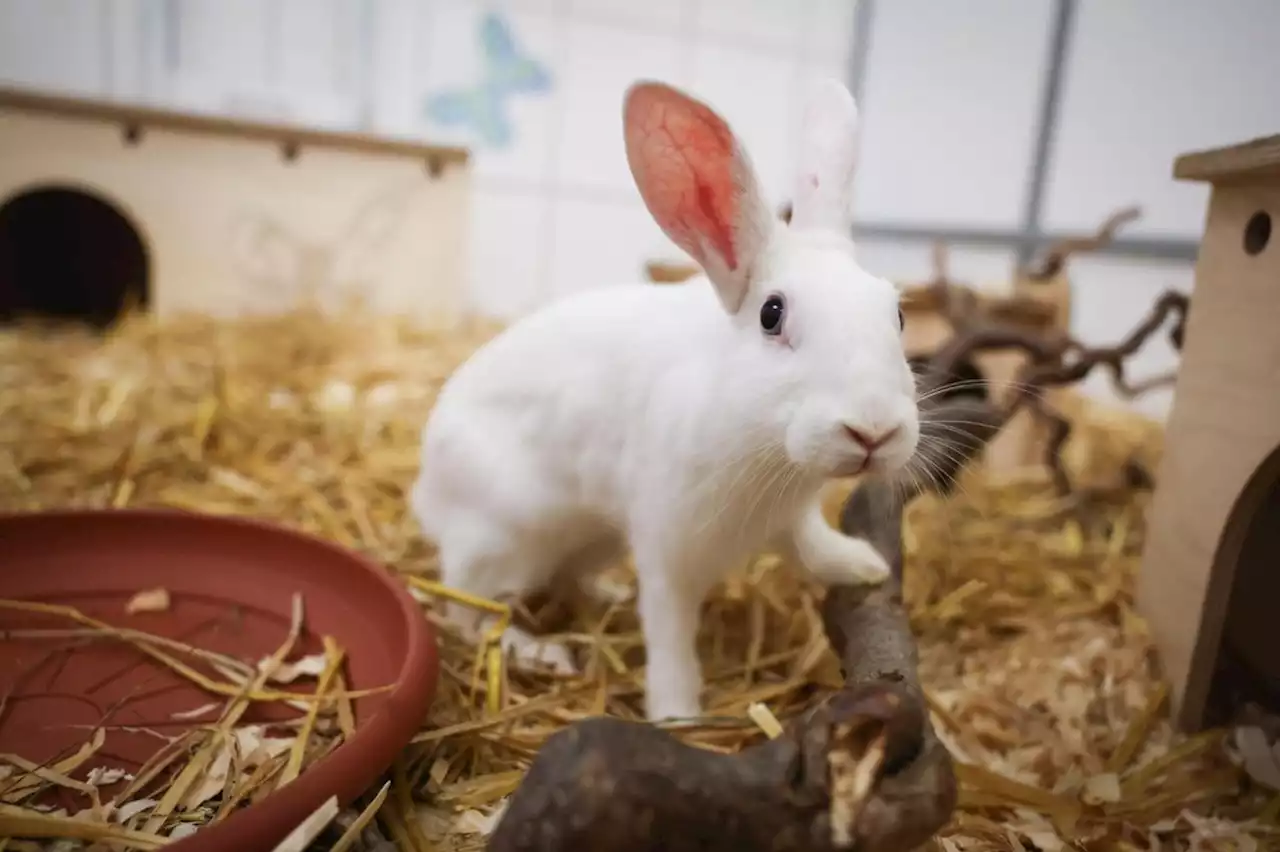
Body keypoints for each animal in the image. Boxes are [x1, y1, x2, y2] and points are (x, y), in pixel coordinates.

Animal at [409, 78, 921, 716]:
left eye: (897, 313)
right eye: (771, 314)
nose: (873, 431)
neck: (763, 447)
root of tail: (427, 492)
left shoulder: (791, 518)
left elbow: (811, 546)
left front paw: (864, 566)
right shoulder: (668, 554)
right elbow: (671, 637)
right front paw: (677, 713)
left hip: (597, 538)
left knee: (563, 580)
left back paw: (607, 597)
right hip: (499, 541)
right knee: (470, 611)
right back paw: (539, 650)